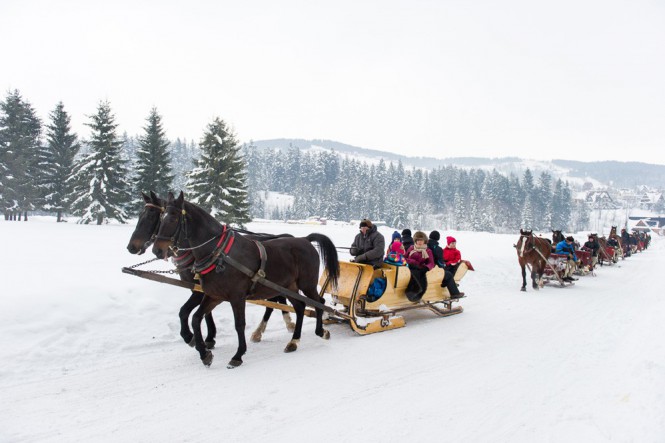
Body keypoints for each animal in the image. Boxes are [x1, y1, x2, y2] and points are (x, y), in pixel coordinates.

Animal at [126, 191, 295, 350]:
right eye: (141, 215)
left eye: (152, 216)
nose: (131, 247)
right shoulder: (203, 288)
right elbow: (204, 312)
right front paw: (206, 338)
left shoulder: (200, 291)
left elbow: (185, 311)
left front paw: (195, 337)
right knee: (276, 300)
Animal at [152, 191, 340, 368]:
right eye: (161, 218)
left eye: (173, 218)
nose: (157, 250)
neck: (220, 253)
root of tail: (305, 240)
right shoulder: (214, 296)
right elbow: (196, 318)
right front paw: (204, 353)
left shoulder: (237, 296)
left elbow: (239, 324)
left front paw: (238, 355)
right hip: (289, 286)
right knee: (300, 307)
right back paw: (294, 341)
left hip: (306, 284)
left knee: (319, 302)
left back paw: (320, 331)